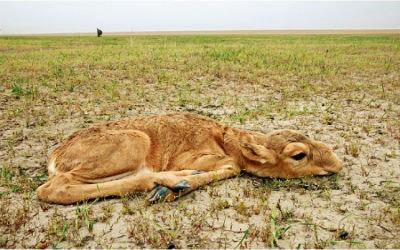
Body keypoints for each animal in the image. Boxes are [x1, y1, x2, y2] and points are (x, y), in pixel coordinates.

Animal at [37, 112, 342, 204]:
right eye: (299, 155)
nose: (337, 163)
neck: (226, 140)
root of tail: (55, 156)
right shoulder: (195, 157)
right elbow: (232, 166)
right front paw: (173, 188)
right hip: (135, 142)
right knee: (52, 189)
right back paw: (171, 184)